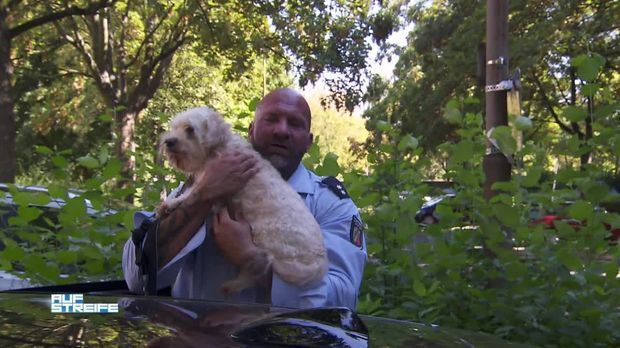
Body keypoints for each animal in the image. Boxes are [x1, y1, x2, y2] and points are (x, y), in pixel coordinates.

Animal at [157, 106, 326, 294]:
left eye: (190, 129)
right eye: (174, 127)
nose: (168, 141)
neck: (219, 146)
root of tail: (318, 262)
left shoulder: (207, 179)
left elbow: (191, 194)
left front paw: (170, 204)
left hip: (266, 238)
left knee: (259, 266)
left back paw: (233, 285)